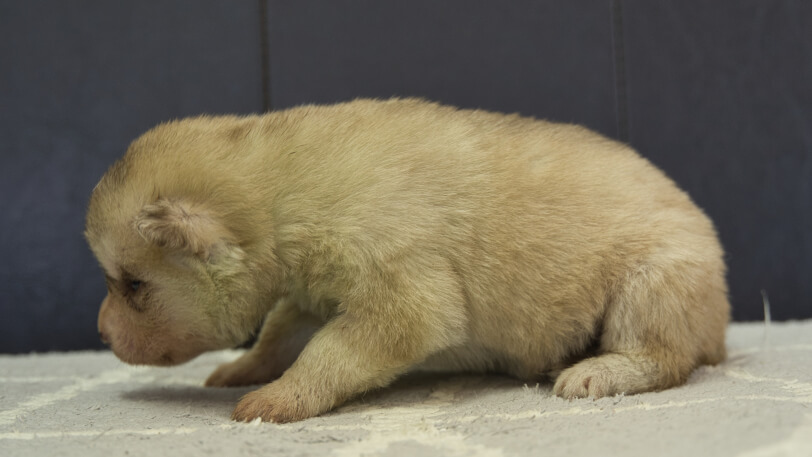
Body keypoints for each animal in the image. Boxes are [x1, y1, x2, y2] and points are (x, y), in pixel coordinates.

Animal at [87, 98, 728, 422]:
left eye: (132, 285)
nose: (101, 333)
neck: (279, 197)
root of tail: (719, 327)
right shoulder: (309, 299)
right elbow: (279, 337)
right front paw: (245, 370)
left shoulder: (403, 302)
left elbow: (328, 355)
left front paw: (280, 398)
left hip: (653, 283)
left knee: (665, 358)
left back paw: (598, 371)